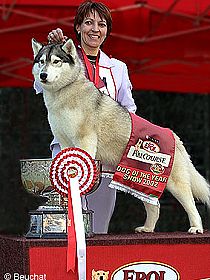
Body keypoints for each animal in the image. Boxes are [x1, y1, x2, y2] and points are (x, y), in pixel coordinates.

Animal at [32, 37, 210, 234]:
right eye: (41, 62)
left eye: (56, 61)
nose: (43, 75)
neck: (63, 92)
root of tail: (173, 135)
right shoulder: (64, 142)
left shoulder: (85, 140)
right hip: (141, 181)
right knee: (154, 206)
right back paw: (147, 228)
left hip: (174, 183)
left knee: (191, 204)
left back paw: (196, 228)